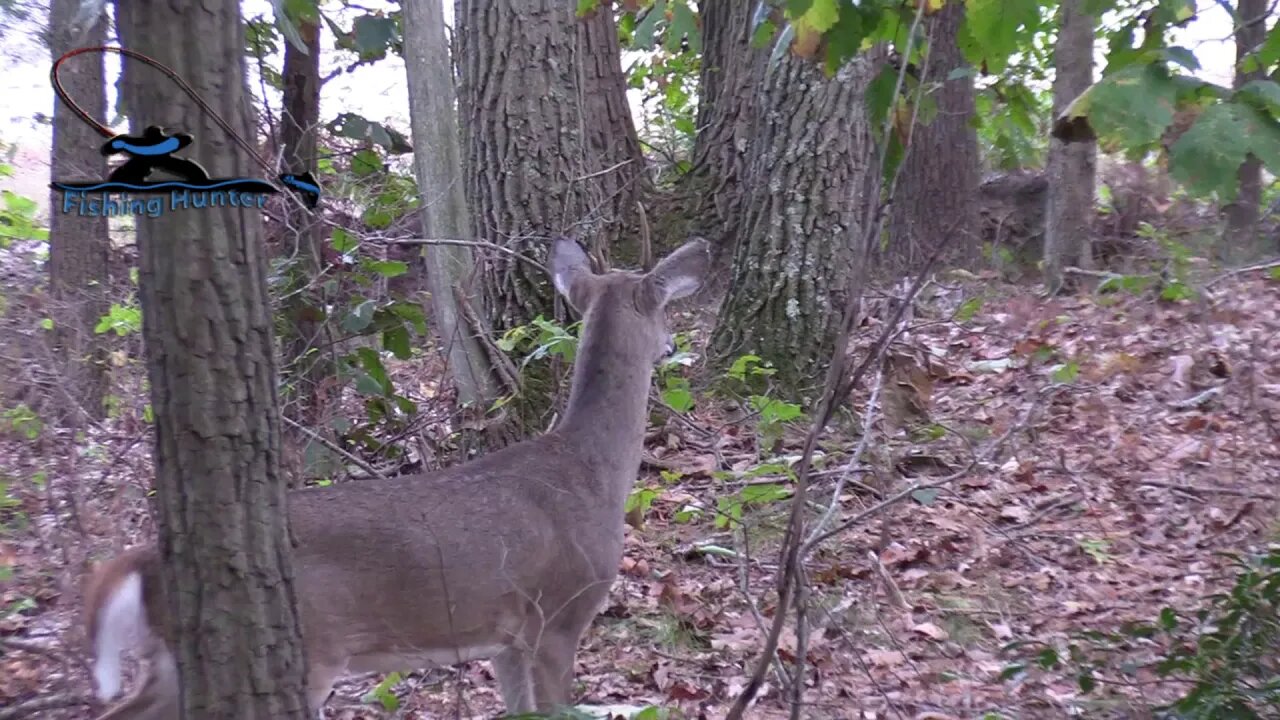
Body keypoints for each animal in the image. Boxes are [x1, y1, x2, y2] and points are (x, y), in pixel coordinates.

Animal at [82, 237, 711, 717]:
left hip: (175, 661)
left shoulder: (506, 638)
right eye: (664, 310)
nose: (674, 344)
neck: (592, 472)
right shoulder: (560, 613)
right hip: (305, 652)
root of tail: (148, 558)